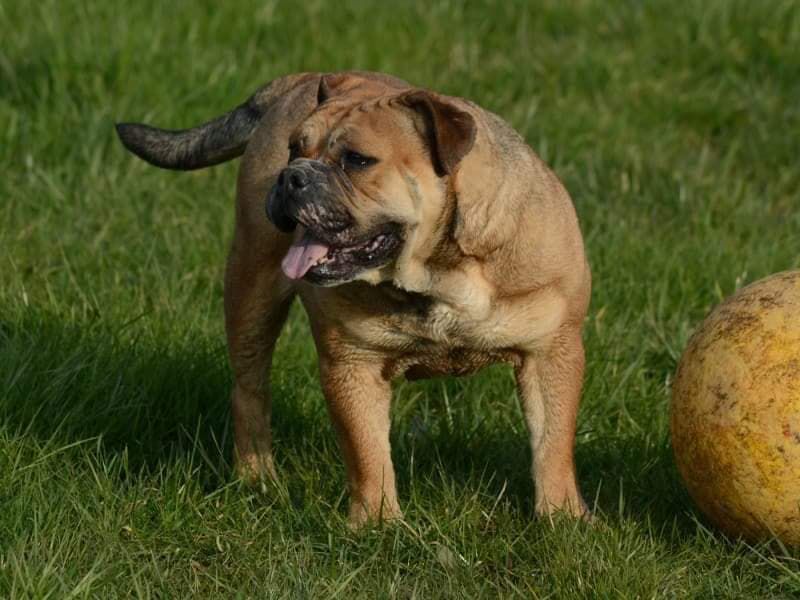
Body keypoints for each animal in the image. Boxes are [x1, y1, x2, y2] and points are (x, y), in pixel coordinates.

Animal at [115, 72, 592, 528]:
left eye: (357, 160)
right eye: (294, 148)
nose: (292, 175)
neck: (440, 271)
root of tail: (298, 77)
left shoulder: (551, 352)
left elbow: (552, 442)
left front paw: (562, 518)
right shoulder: (352, 362)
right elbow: (367, 450)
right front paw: (378, 523)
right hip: (251, 289)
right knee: (249, 390)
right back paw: (257, 477)